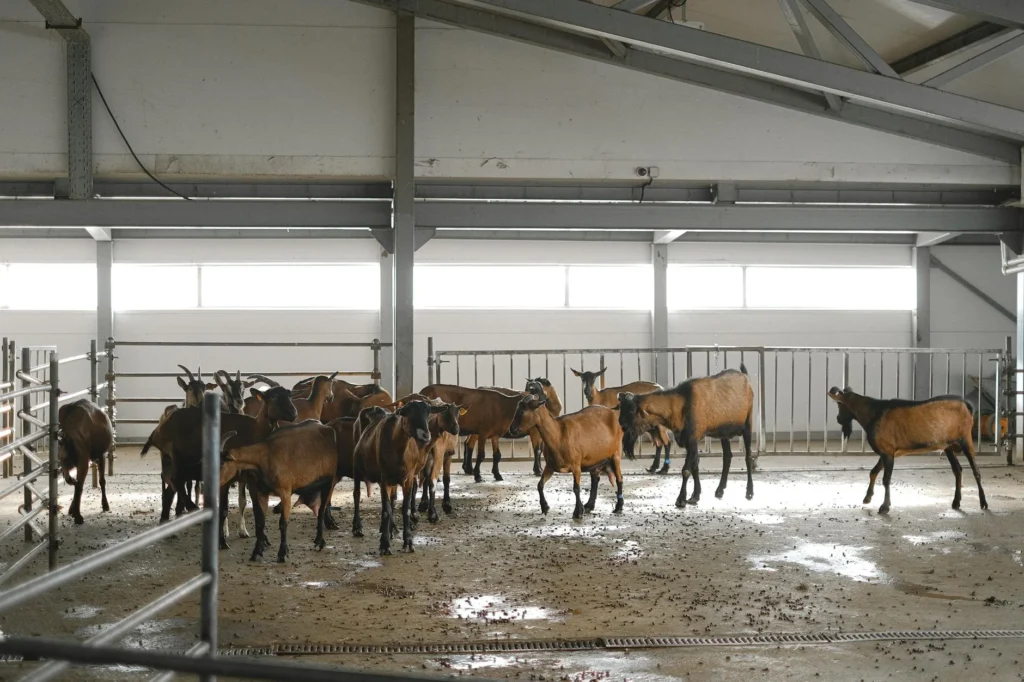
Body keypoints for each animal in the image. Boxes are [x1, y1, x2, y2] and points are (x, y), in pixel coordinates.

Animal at [219, 420, 338, 562]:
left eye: (223, 463)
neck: (266, 458)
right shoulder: (261, 493)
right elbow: (260, 522)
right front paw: (257, 552)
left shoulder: (285, 492)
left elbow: (283, 523)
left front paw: (282, 553)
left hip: (329, 483)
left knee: (321, 511)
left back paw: (319, 542)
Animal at [617, 366, 754, 508]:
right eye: (621, 408)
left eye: (632, 409)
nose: (621, 424)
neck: (681, 404)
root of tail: (744, 376)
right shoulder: (688, 441)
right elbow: (695, 467)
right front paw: (695, 496)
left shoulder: (692, 439)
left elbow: (686, 470)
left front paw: (681, 499)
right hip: (723, 433)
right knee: (727, 457)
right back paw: (720, 490)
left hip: (747, 424)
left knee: (748, 457)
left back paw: (749, 492)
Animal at [828, 387, 986, 514]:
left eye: (839, 404)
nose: (837, 418)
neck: (874, 413)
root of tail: (966, 405)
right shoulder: (886, 451)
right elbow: (873, 472)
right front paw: (867, 498)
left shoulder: (887, 452)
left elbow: (886, 479)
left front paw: (884, 506)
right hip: (948, 446)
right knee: (957, 470)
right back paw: (956, 502)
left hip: (965, 439)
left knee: (976, 470)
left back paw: (983, 503)